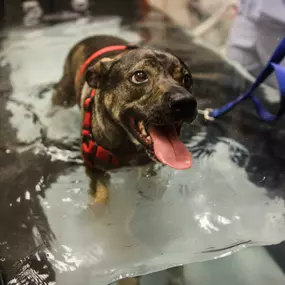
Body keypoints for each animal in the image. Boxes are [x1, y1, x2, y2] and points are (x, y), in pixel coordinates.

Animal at [52, 33, 196, 202]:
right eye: (139, 76)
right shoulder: (95, 169)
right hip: (62, 94)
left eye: (187, 78)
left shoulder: (147, 165)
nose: (185, 102)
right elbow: (101, 197)